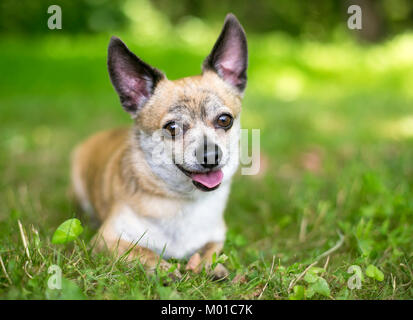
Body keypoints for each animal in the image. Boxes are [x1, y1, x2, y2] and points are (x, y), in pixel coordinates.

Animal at [70, 13, 248, 278]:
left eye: (224, 120)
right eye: (172, 128)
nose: (210, 154)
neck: (182, 200)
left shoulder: (217, 236)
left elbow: (211, 251)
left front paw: (207, 265)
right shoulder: (106, 239)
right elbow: (141, 251)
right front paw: (164, 269)